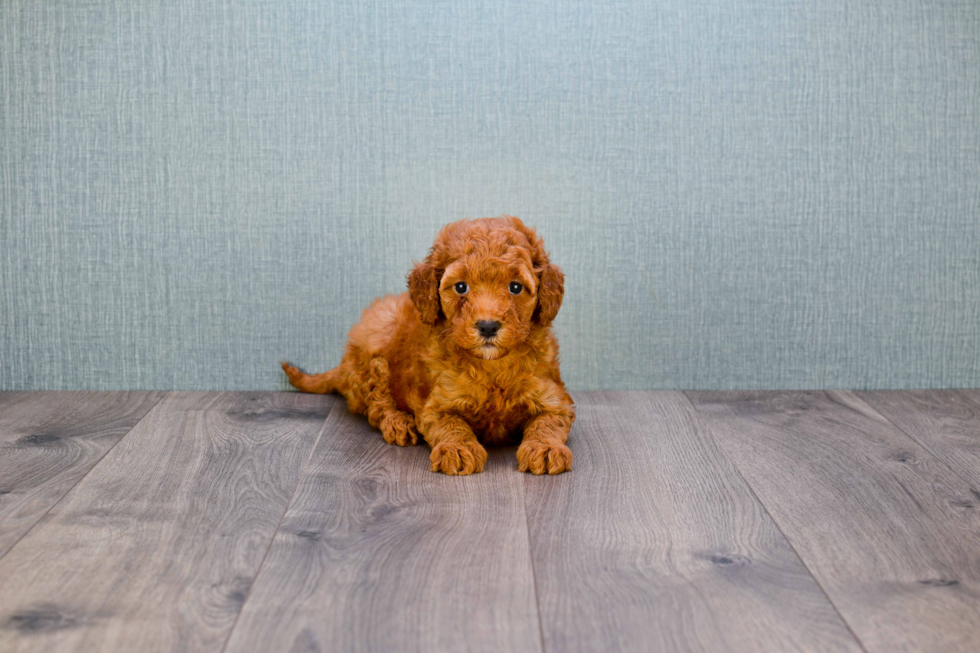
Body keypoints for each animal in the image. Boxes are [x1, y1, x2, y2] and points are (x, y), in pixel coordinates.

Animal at [280, 216, 576, 476]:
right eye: (461, 287)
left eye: (515, 287)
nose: (488, 326)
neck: (491, 365)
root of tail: (343, 365)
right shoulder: (436, 403)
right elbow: (451, 424)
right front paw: (458, 449)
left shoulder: (554, 398)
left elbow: (548, 422)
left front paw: (545, 448)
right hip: (377, 342)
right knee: (375, 403)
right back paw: (398, 422)